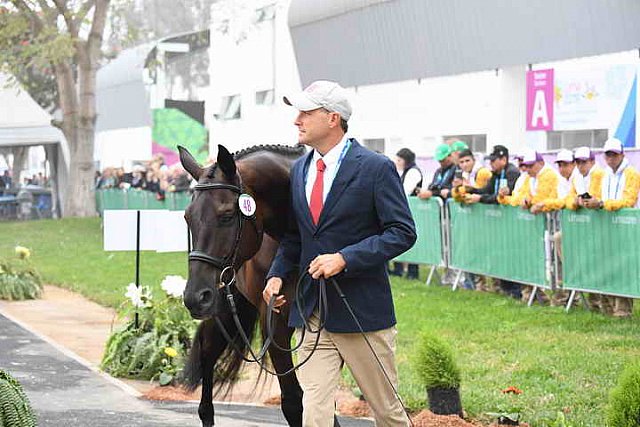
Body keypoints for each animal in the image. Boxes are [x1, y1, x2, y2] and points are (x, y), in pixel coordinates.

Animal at [176, 145, 308, 427]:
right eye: (187, 217)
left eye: (227, 215)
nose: (195, 297)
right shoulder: (276, 322)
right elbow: (293, 400)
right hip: (223, 304)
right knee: (208, 348)